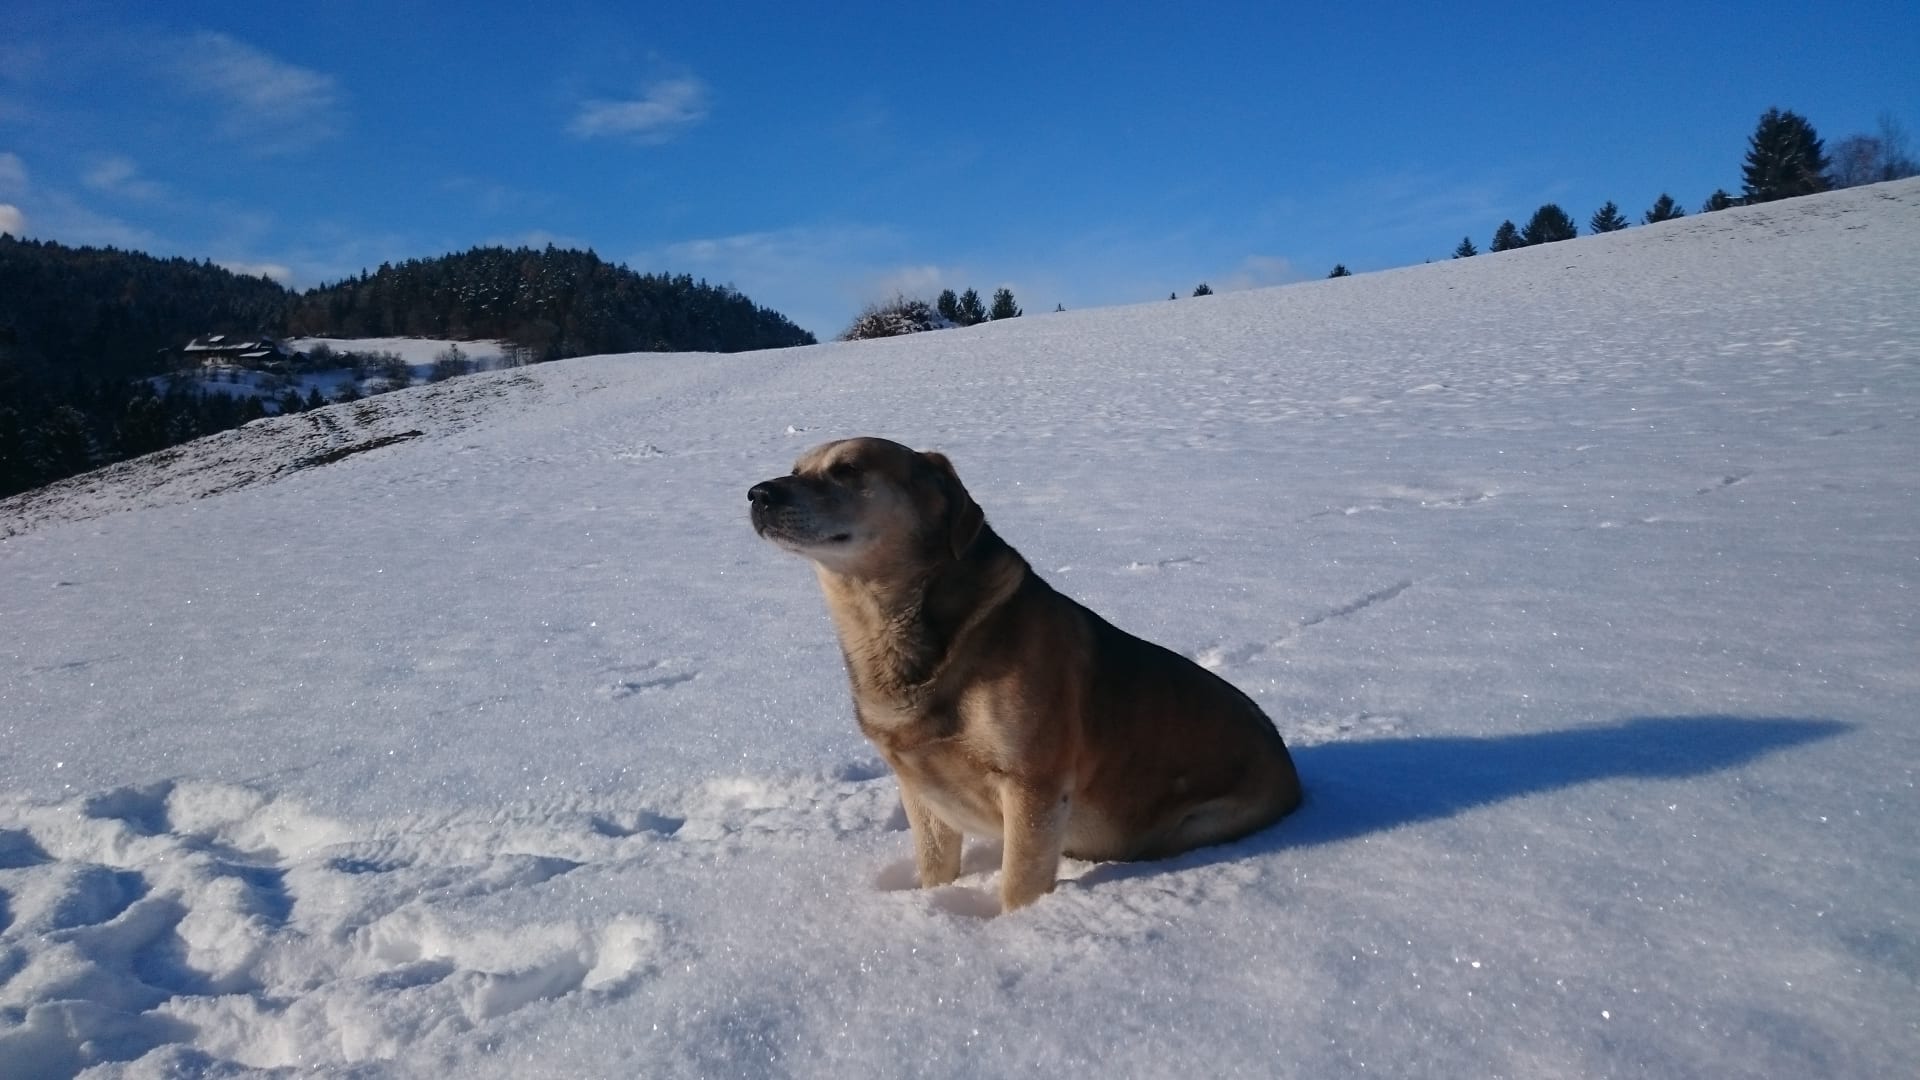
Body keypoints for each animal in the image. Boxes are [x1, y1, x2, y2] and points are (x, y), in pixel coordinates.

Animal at [749, 437, 1303, 911]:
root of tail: (1292, 774)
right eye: (796, 468)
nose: (758, 494)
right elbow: (935, 867)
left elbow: (1019, 884)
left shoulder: (1033, 784)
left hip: (1190, 826)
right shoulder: (921, 790)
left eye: (847, 469)